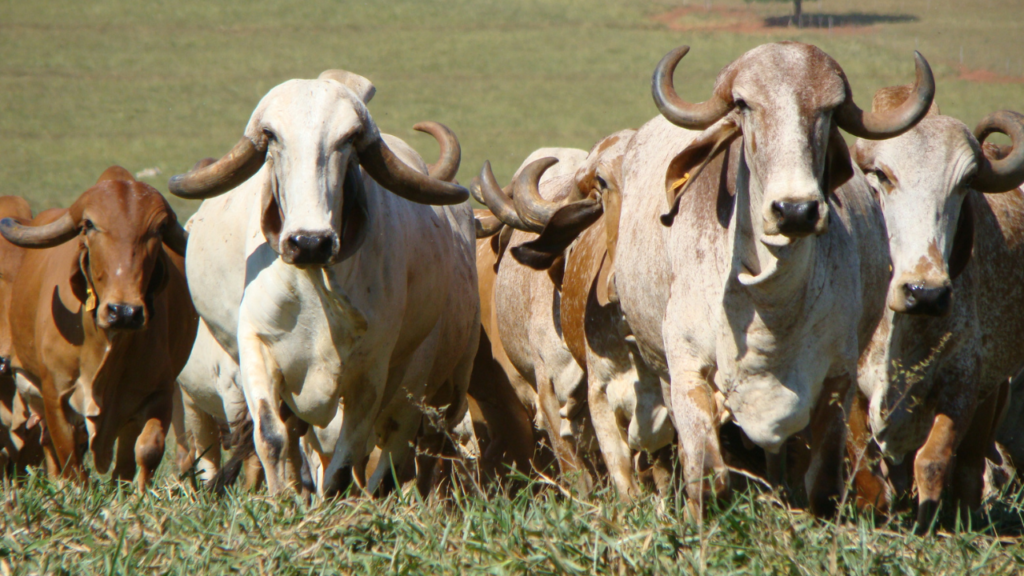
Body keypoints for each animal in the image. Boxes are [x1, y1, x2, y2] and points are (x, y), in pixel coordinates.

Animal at [3, 165, 197, 483]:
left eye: (158, 229)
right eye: (89, 224)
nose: (125, 312)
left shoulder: (159, 391)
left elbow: (148, 450)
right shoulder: (55, 394)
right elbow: (69, 456)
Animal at [173, 69, 483, 496]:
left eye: (348, 138)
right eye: (271, 135)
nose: (309, 241)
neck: (312, 292)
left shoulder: (372, 376)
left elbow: (347, 461)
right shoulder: (256, 349)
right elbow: (271, 438)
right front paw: (282, 499)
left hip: (442, 384)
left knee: (407, 452)